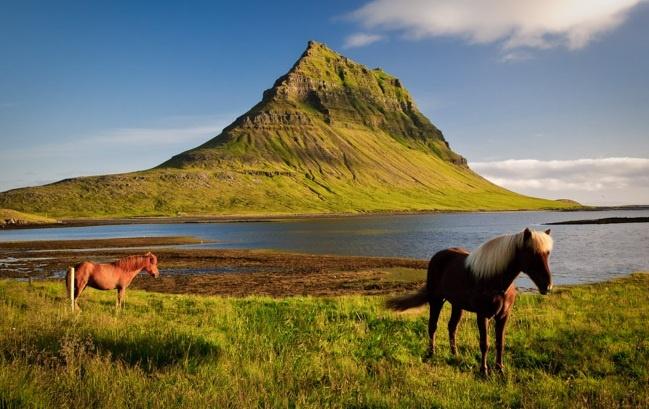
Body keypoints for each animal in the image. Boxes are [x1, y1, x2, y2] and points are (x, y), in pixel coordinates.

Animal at [387, 228, 553, 375]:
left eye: (547, 253)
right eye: (531, 253)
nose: (547, 286)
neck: (495, 281)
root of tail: (438, 256)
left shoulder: (503, 316)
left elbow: (500, 343)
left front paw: (500, 369)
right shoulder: (482, 315)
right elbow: (484, 344)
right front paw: (484, 371)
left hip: (457, 305)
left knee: (452, 327)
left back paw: (454, 354)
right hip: (436, 300)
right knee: (432, 326)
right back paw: (431, 353)